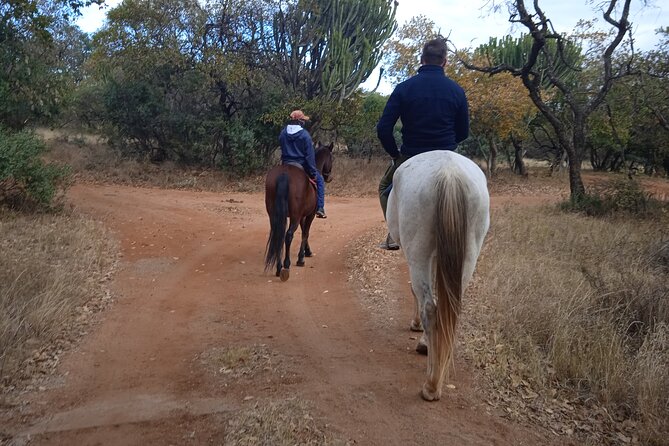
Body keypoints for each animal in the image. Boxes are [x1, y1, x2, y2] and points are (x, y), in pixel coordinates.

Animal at [262, 143, 332, 282]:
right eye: (332, 158)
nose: (327, 176)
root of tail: (284, 174)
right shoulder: (309, 215)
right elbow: (306, 232)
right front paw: (301, 258)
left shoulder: (301, 216)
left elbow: (304, 230)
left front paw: (307, 251)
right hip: (294, 216)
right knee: (288, 235)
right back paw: (286, 266)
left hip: (274, 215)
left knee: (278, 234)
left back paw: (278, 268)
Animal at [386, 150, 490, 400]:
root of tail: (449, 174)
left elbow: (415, 290)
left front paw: (418, 329)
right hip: (469, 252)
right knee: (450, 309)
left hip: (418, 251)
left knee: (431, 309)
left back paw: (431, 385)